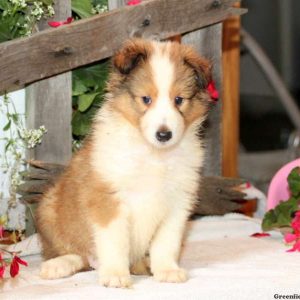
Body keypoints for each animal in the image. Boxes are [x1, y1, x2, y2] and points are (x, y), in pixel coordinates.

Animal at [36, 38, 212, 288]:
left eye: (179, 100)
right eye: (146, 99)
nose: (164, 134)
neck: (153, 154)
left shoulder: (177, 202)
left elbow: (166, 242)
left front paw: (167, 271)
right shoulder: (108, 198)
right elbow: (115, 241)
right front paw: (115, 275)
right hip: (48, 208)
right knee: (73, 254)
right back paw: (57, 266)